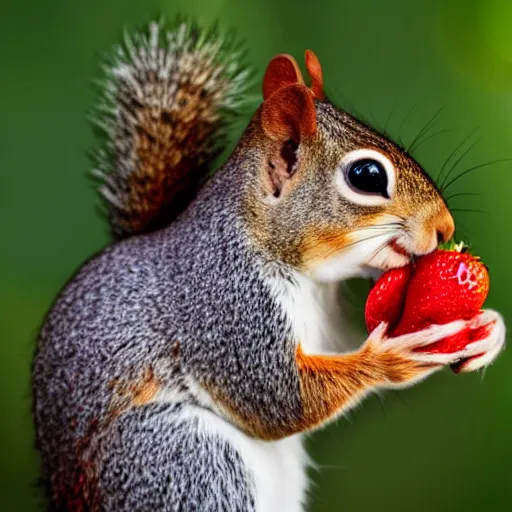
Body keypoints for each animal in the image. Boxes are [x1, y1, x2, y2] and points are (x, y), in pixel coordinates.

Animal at [33, 18, 508, 510]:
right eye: (367, 176)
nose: (444, 228)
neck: (297, 268)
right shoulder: (227, 305)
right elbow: (278, 399)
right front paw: (393, 356)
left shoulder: (325, 317)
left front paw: (489, 330)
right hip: (185, 462)